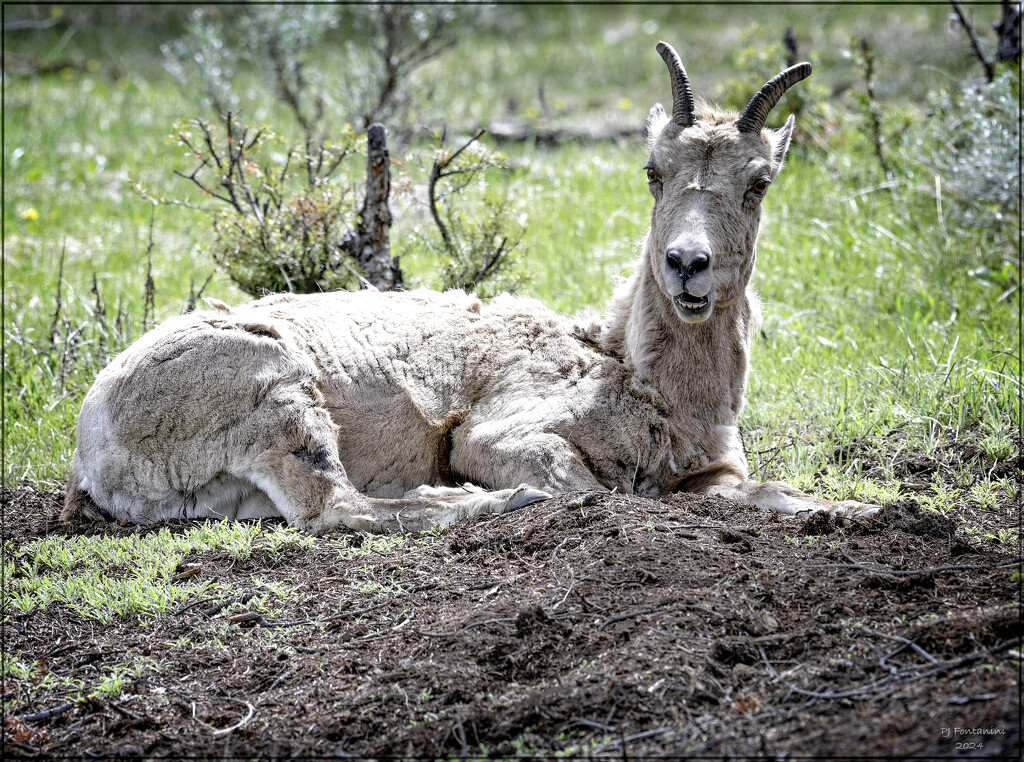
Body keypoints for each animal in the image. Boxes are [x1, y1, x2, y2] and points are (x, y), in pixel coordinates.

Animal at [64, 40, 880, 528]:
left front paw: (860, 512)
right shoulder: (498, 434)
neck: (626, 368)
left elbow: (779, 494)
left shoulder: (713, 470)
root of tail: (92, 444)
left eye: (759, 182)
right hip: (279, 393)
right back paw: (495, 499)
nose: (687, 264)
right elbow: (596, 490)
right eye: (654, 171)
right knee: (339, 509)